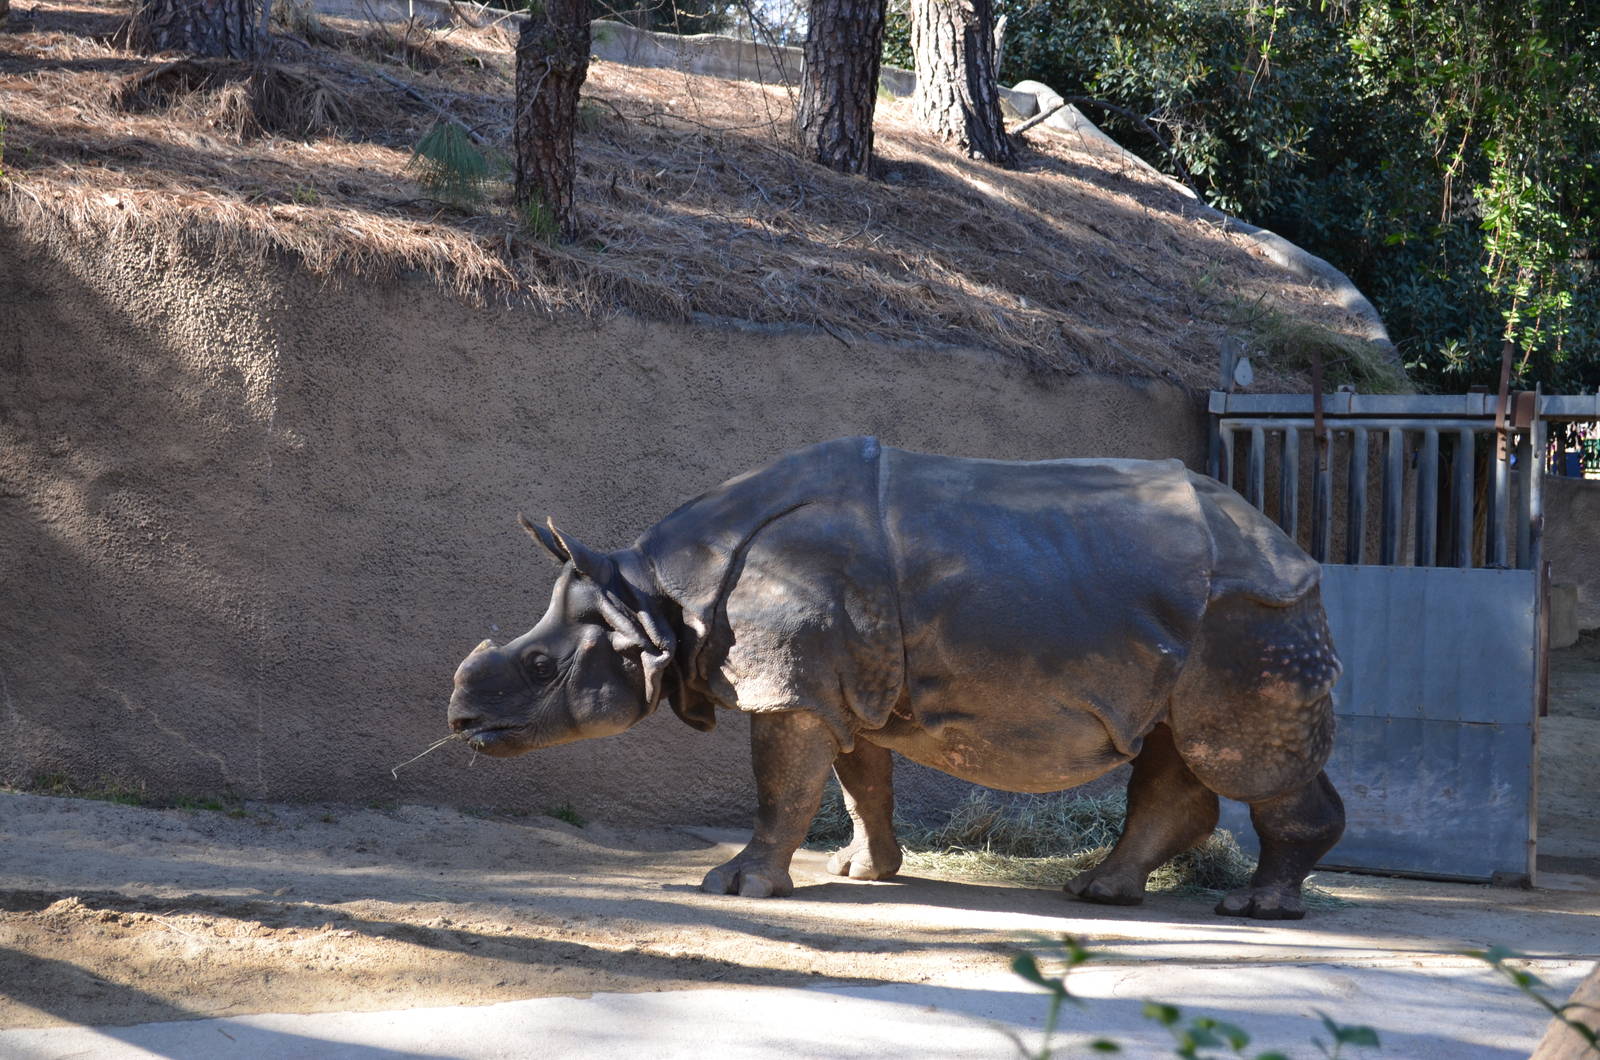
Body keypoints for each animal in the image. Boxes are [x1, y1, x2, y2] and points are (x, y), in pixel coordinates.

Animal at [447, 438, 1345, 919]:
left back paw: (1253, 908)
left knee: (1239, 756)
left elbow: (783, 785)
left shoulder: (795, 685)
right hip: (1192, 617)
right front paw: (863, 873)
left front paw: (736, 888)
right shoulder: (835, 683)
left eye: (538, 666)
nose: (460, 724)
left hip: (1252, 612)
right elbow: (857, 781)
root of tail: (1288, 539)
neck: (651, 597)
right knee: (1172, 746)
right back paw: (1097, 892)